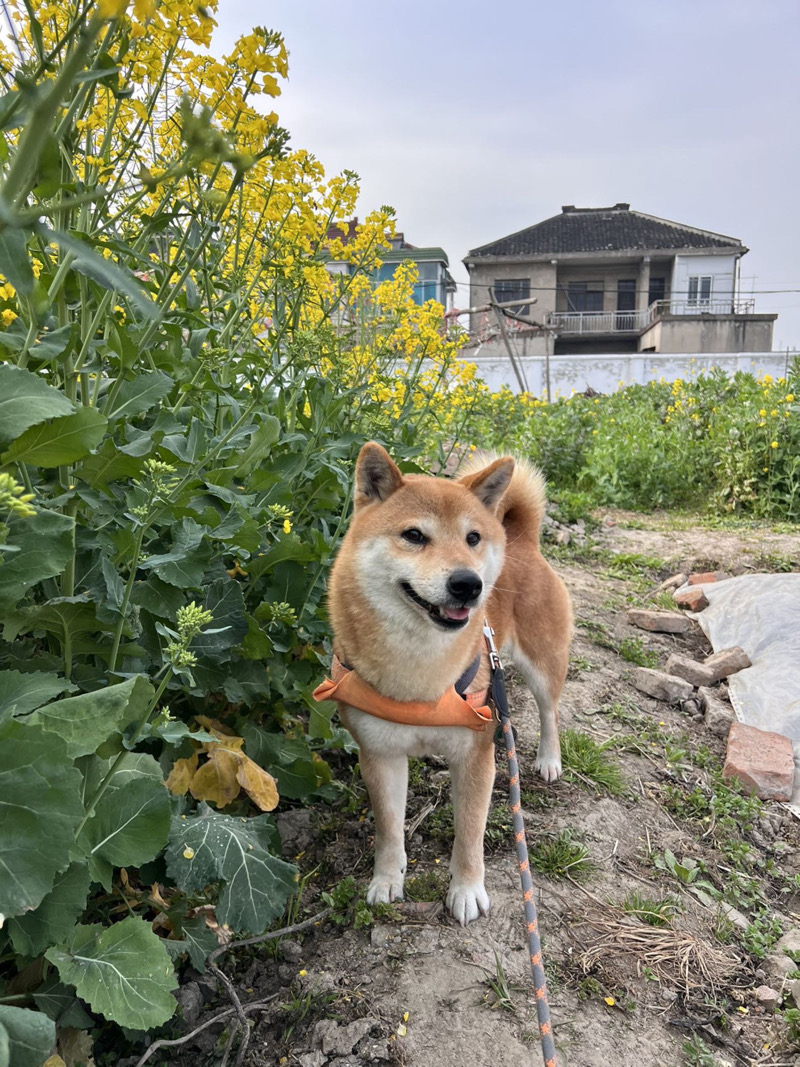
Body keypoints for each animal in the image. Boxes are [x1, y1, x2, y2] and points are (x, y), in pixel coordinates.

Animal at [315, 441, 571, 926]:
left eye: (472, 538)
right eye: (414, 535)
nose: (468, 584)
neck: (420, 671)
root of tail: (522, 540)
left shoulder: (474, 757)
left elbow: (469, 834)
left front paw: (466, 890)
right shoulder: (380, 754)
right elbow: (389, 829)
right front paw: (387, 879)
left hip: (543, 666)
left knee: (549, 711)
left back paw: (549, 759)